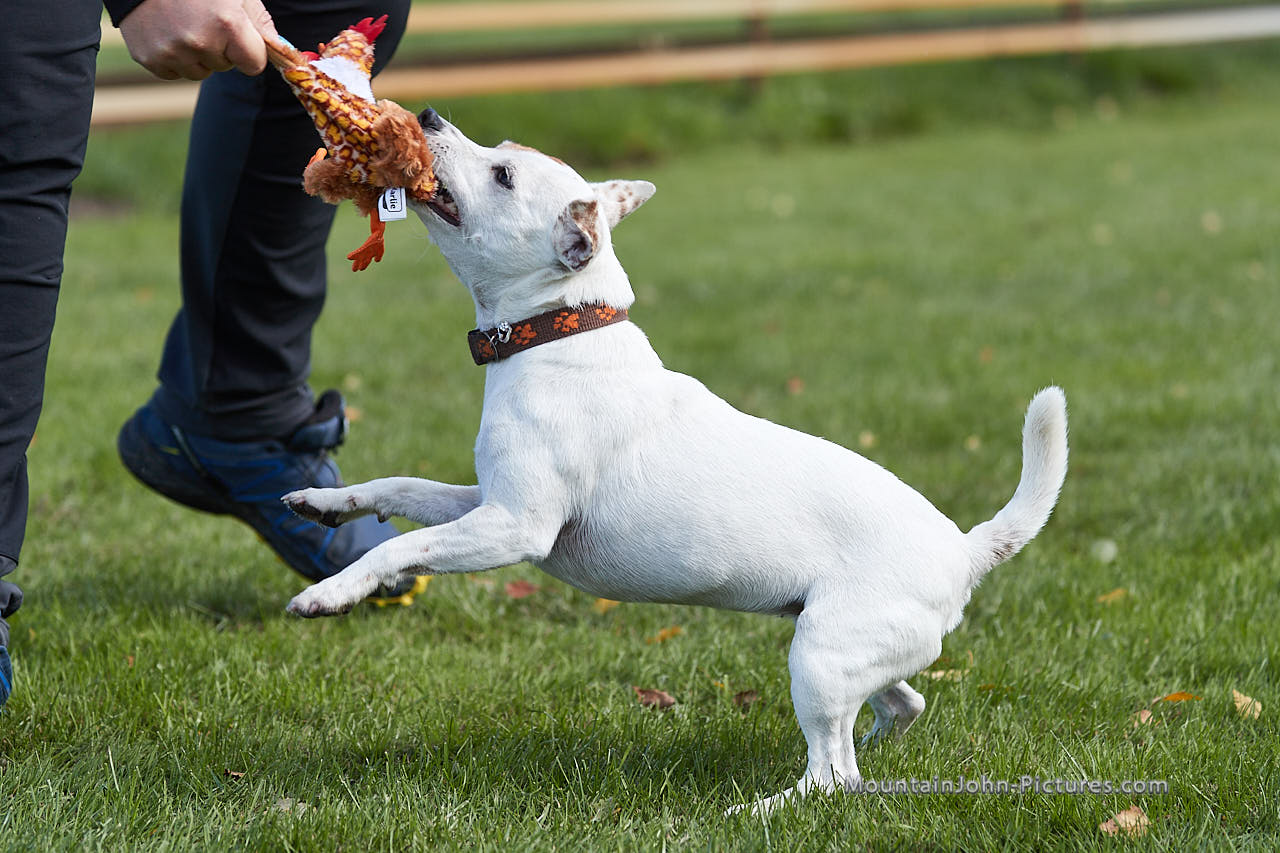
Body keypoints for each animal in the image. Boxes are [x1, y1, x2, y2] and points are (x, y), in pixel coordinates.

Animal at [283, 107, 1069, 815]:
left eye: (502, 174)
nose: (425, 116)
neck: (559, 334)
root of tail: (965, 549)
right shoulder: (483, 500)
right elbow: (402, 489)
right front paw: (326, 503)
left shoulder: (515, 528)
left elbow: (401, 546)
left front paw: (331, 593)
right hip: (842, 646)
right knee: (900, 705)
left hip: (819, 656)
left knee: (832, 773)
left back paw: (757, 811)